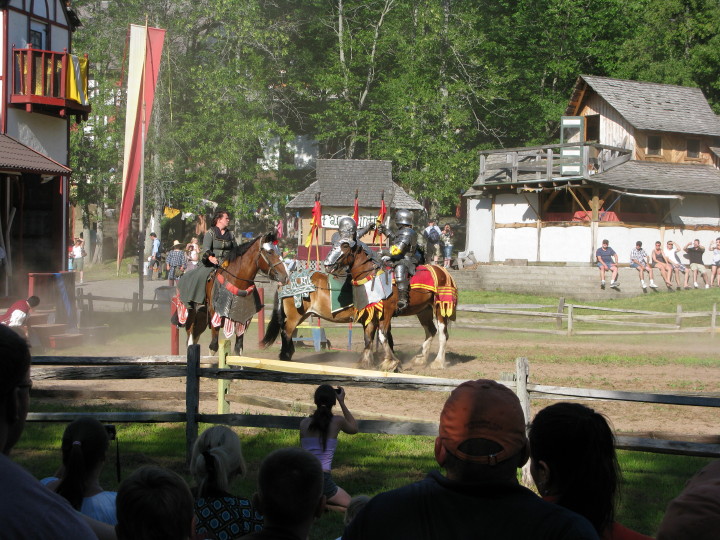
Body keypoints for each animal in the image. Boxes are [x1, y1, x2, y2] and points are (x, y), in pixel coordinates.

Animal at [324, 244, 456, 374]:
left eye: (345, 247)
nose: (326, 264)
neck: (371, 275)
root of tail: (444, 272)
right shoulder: (372, 313)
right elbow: (368, 337)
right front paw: (365, 363)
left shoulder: (386, 312)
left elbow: (382, 335)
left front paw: (390, 362)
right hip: (424, 310)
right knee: (431, 331)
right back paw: (420, 359)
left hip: (440, 307)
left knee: (442, 334)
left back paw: (438, 362)